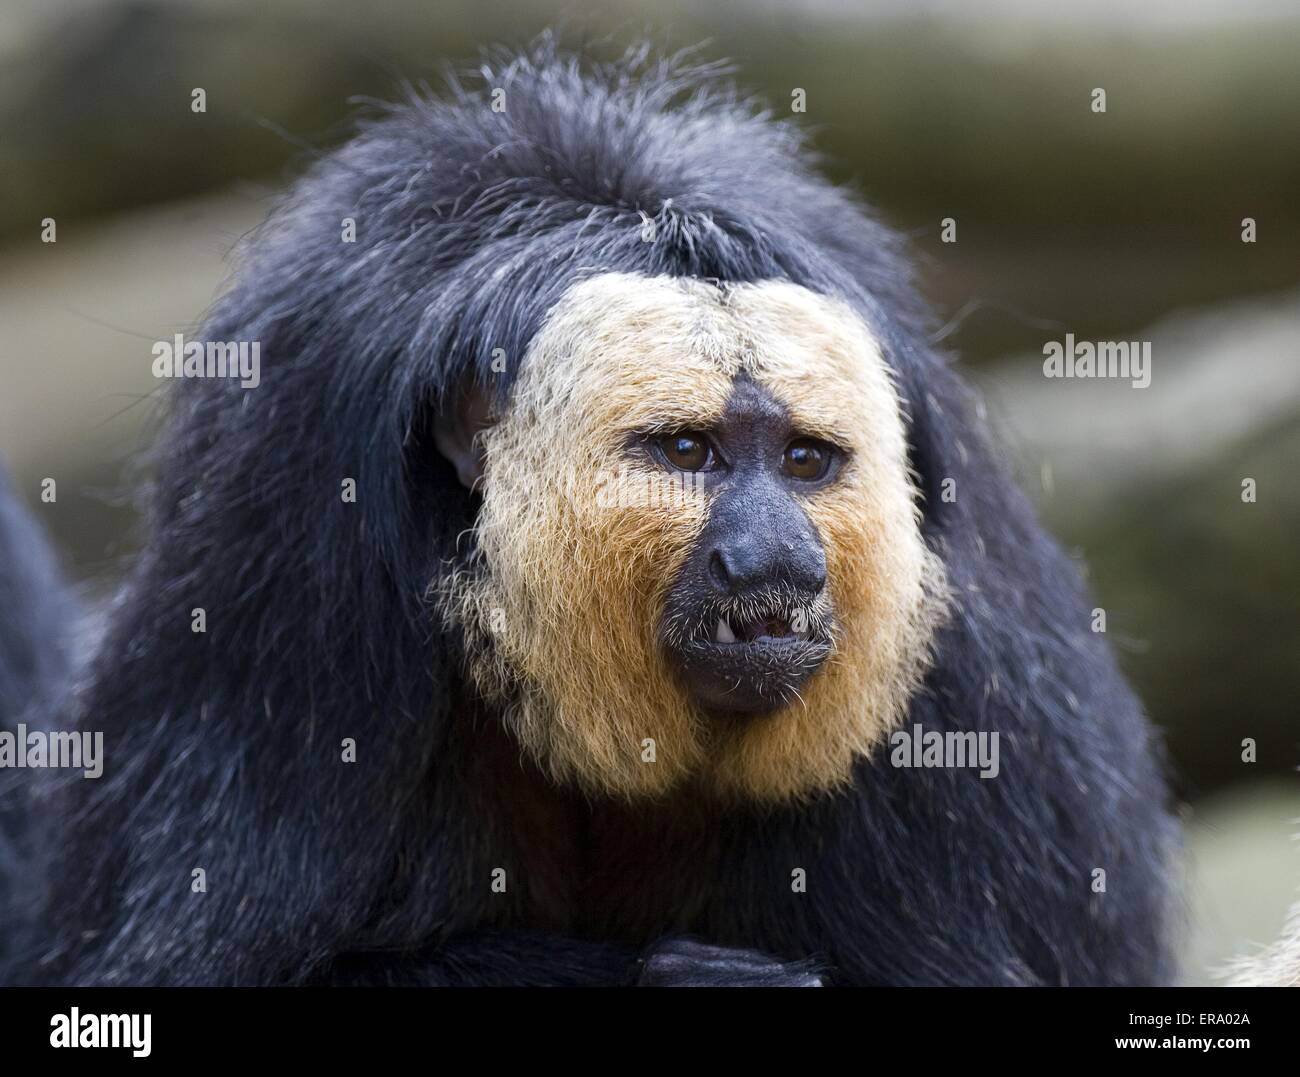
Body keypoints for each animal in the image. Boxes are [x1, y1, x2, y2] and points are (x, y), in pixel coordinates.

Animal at [0, 39, 1180, 983]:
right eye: (688, 451)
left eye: (804, 462)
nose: (775, 562)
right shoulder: (289, 548)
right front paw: (685, 979)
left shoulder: (967, 675)